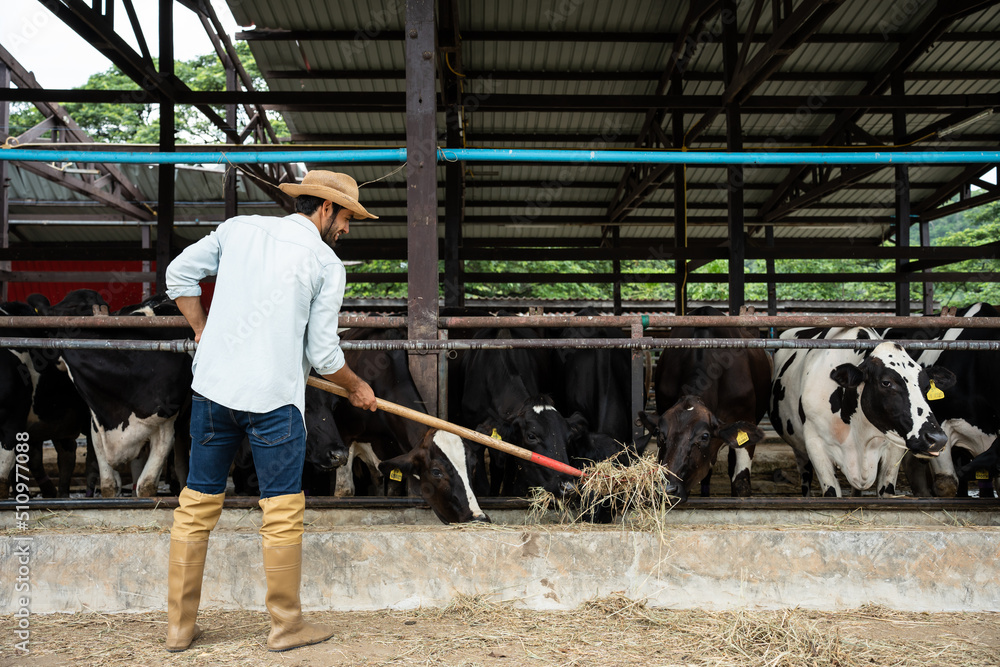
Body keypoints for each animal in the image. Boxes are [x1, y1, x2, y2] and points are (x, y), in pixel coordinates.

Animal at [772, 326, 952, 498]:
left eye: (926, 386)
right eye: (886, 382)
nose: (937, 439)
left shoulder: (893, 450)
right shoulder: (815, 445)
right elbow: (831, 493)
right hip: (800, 451)